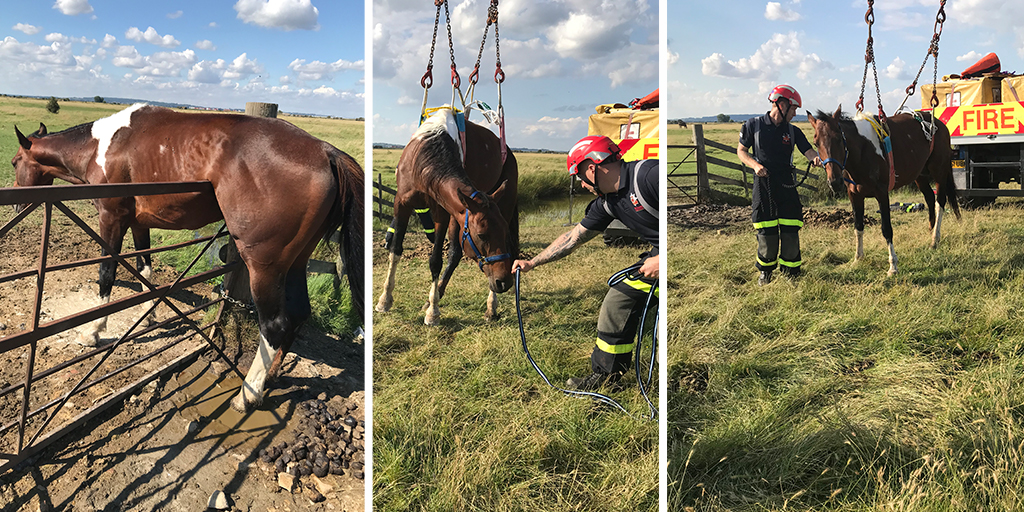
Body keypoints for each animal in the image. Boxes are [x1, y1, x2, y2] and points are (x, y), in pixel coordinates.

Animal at [11, 103, 364, 411]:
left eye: (14, 162)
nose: (15, 204)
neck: (101, 147)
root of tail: (325, 151)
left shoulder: (111, 218)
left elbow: (107, 274)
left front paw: (93, 331)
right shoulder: (139, 222)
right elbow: (144, 269)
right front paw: (148, 316)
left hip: (265, 266)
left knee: (276, 325)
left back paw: (247, 395)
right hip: (296, 262)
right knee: (299, 314)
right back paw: (272, 377)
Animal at [374, 109, 520, 323]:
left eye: (501, 234)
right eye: (482, 235)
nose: (504, 282)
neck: (424, 161)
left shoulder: (441, 212)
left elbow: (436, 260)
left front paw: (433, 311)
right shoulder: (402, 204)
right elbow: (395, 250)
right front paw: (384, 300)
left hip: (504, 205)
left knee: (456, 254)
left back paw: (490, 306)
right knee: (455, 253)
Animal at [806, 107, 958, 276]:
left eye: (839, 138)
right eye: (816, 143)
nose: (835, 182)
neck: (863, 151)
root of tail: (938, 123)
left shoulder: (882, 194)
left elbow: (886, 229)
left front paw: (893, 265)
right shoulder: (855, 196)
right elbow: (858, 227)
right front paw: (857, 258)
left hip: (939, 171)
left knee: (940, 203)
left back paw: (935, 239)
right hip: (920, 175)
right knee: (930, 198)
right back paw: (930, 231)